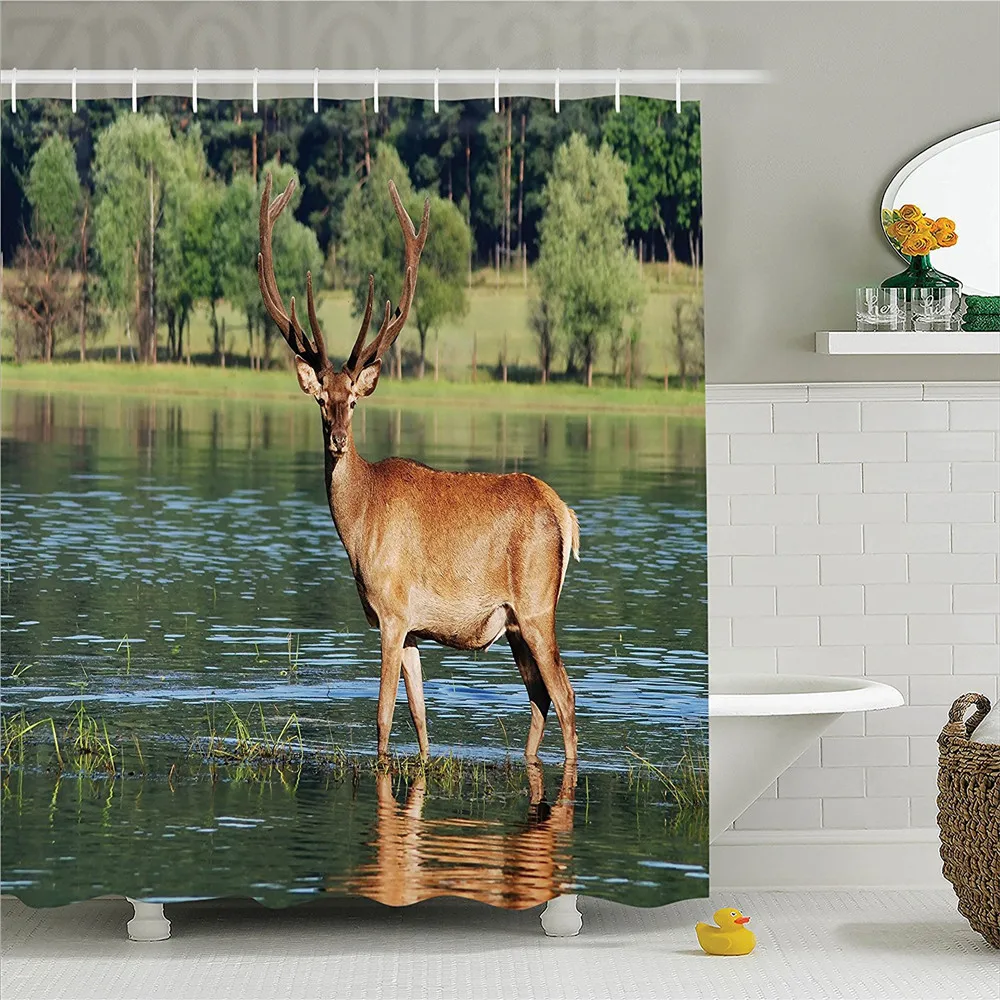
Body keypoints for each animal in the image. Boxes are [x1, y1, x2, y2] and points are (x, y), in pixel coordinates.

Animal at [257, 172, 579, 764]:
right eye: (321, 401)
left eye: (353, 402)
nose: (338, 439)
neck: (360, 526)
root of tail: (565, 515)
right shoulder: (411, 631)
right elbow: (421, 717)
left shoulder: (391, 613)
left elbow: (383, 717)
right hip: (515, 624)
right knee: (540, 697)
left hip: (537, 606)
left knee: (565, 694)